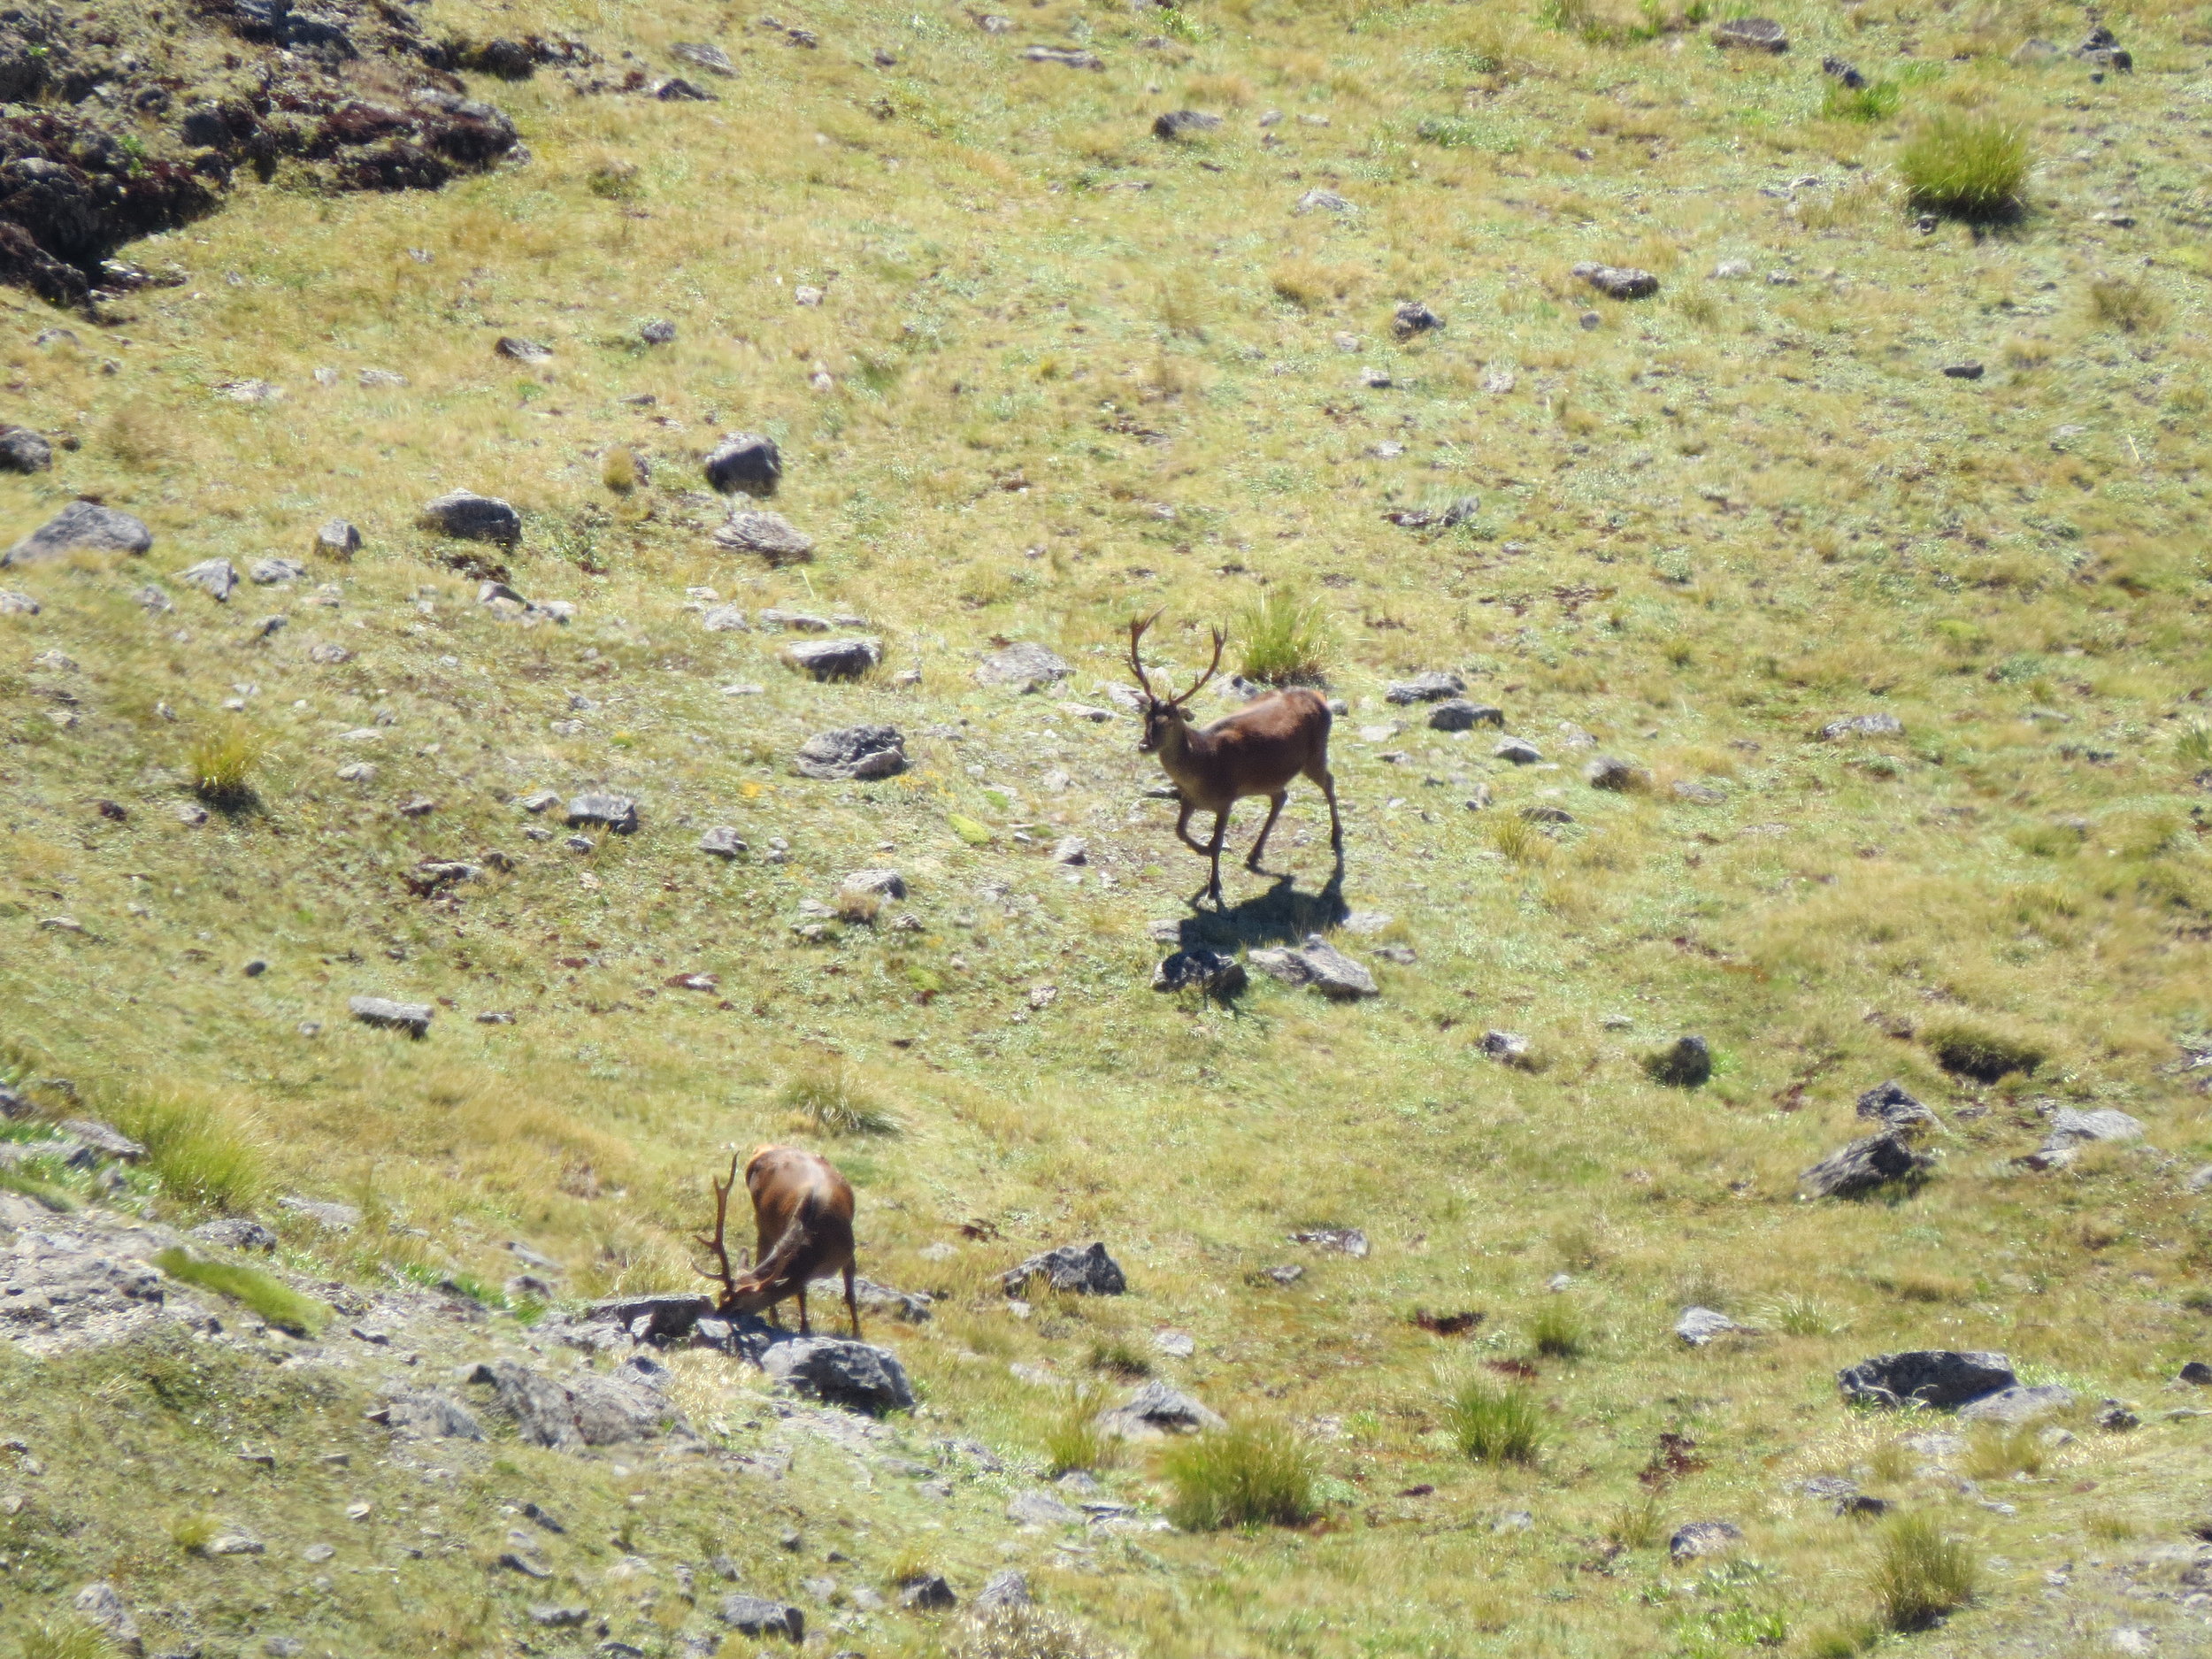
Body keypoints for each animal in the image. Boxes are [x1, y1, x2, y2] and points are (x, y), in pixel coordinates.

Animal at [695, 1150, 858, 1345]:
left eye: (738, 1308)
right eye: (721, 1297)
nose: (713, 1319)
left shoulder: (848, 1251)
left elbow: (850, 1293)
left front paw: (857, 1334)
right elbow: (801, 1292)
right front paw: (804, 1329)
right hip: (762, 1222)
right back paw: (774, 1318)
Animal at [1133, 615, 1336, 911]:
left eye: (1169, 721)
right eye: (1147, 717)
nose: (1144, 745)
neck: (1203, 765)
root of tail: (1319, 696)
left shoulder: (1226, 799)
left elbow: (1217, 842)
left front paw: (1214, 887)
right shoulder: (1188, 799)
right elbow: (1180, 831)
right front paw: (1202, 853)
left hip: (1316, 753)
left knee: (1329, 782)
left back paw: (1336, 839)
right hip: (1272, 776)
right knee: (1281, 796)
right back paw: (1254, 854)